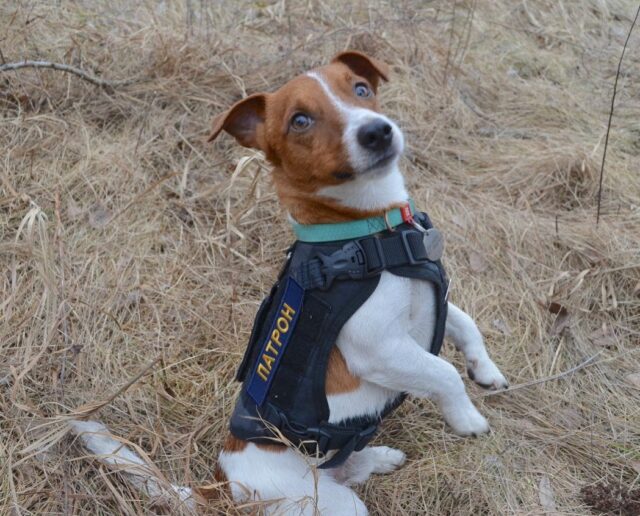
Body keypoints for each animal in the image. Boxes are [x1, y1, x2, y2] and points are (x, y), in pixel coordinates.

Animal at [208, 50, 508, 512]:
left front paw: (485, 370)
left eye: (361, 89)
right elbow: (443, 372)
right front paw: (466, 418)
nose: (377, 131)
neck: (373, 233)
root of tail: (228, 481)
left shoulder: (431, 301)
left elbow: (467, 324)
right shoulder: (380, 348)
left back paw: (377, 458)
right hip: (335, 503)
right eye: (300, 120)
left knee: (354, 466)